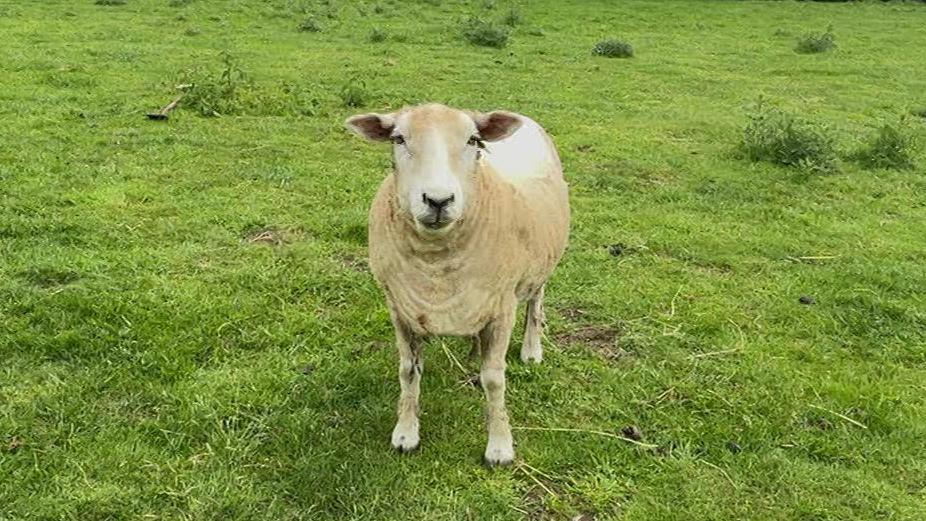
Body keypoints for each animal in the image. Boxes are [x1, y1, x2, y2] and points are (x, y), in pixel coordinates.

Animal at [345, 103, 570, 466]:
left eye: (473, 140)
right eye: (398, 138)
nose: (438, 201)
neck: (436, 262)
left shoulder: (503, 308)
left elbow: (495, 379)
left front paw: (499, 446)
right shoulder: (398, 307)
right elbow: (408, 370)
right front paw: (406, 433)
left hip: (542, 262)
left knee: (536, 300)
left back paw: (531, 350)